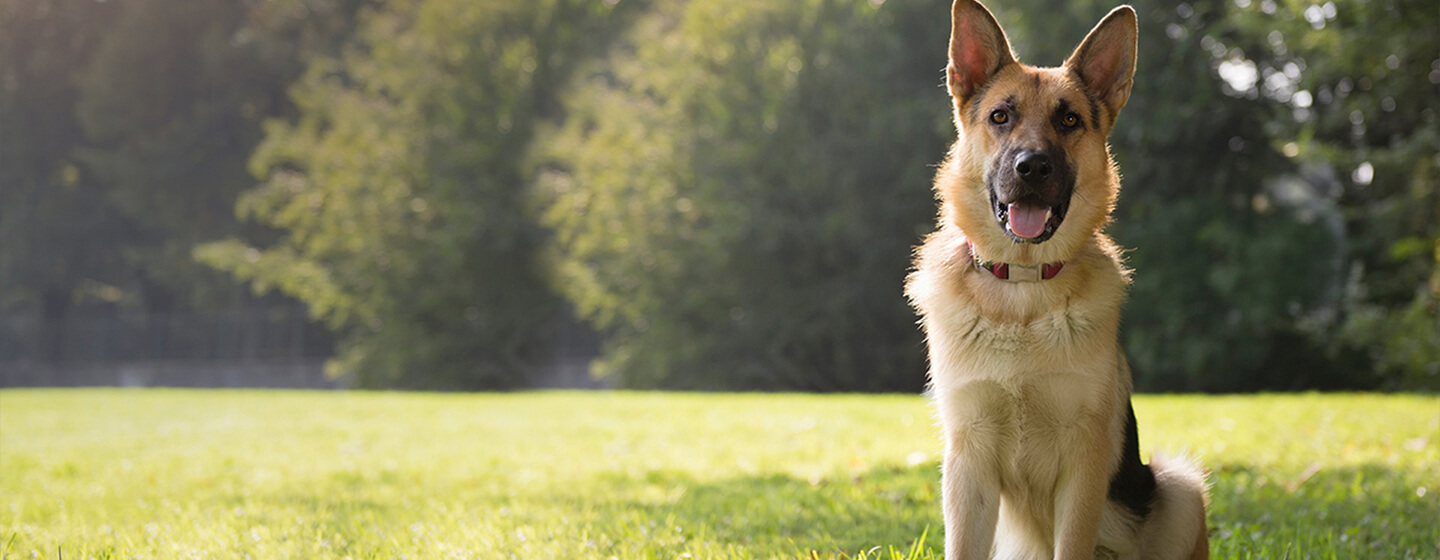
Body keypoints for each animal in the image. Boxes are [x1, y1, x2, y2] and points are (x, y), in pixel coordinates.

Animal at [904, 2, 1209, 555]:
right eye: (1000, 117)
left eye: (1069, 120)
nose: (1033, 167)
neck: (1023, 289)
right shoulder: (967, 463)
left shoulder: (1084, 463)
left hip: (1182, 488)